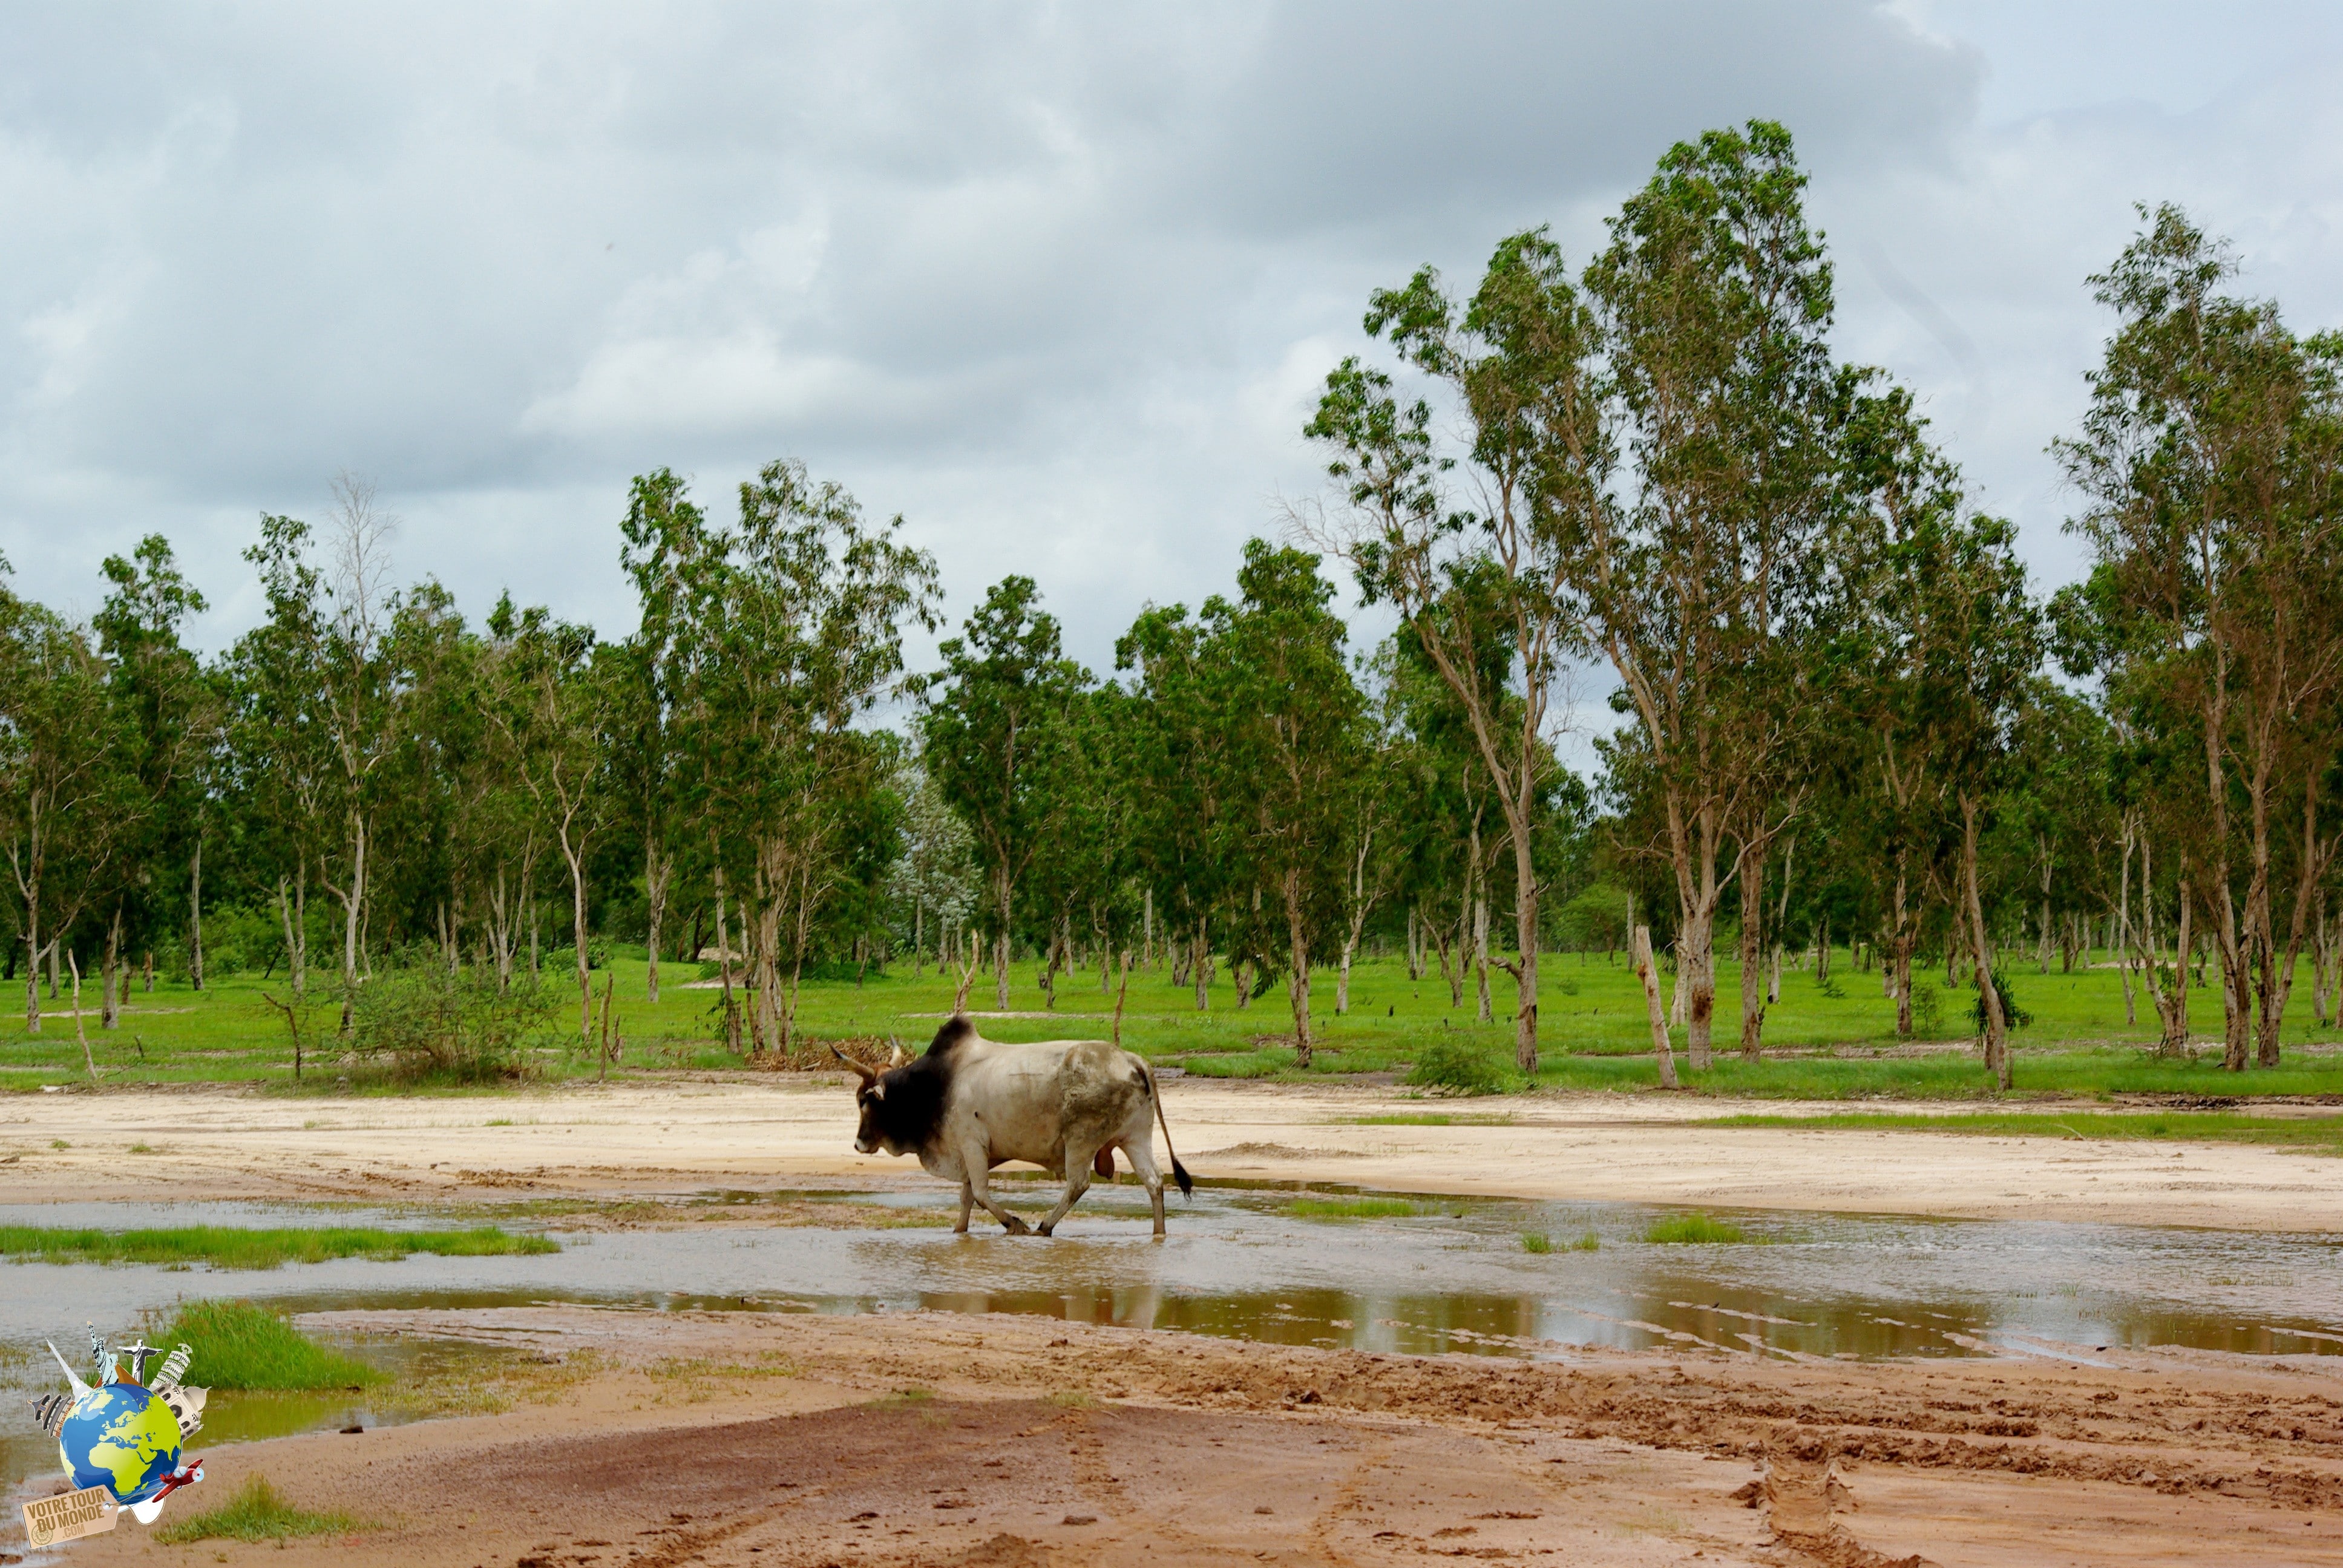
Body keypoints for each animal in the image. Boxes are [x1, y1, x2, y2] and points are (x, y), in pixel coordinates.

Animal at [834, 1017, 1190, 1237]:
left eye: (863, 1101)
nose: (858, 1144)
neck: (936, 1085)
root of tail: (1133, 1060)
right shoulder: (969, 1153)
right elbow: (967, 1197)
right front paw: (959, 1232)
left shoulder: (972, 1144)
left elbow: (979, 1193)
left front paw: (1014, 1224)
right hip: (1135, 1138)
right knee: (1154, 1181)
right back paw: (1159, 1233)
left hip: (1080, 1141)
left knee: (1078, 1184)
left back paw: (1045, 1226)